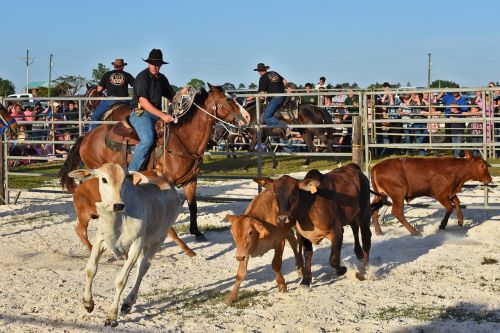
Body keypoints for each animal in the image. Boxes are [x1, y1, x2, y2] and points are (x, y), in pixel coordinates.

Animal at [60, 83, 244, 239]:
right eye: (228, 99)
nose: (246, 117)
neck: (183, 140)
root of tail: (86, 137)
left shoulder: (191, 181)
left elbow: (193, 205)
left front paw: (196, 232)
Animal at [67, 162, 183, 326]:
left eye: (125, 179)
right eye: (104, 179)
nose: (118, 205)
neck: (118, 219)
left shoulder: (136, 244)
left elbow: (121, 280)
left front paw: (111, 316)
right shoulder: (100, 240)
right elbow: (91, 269)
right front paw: (88, 303)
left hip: (159, 238)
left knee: (143, 267)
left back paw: (128, 302)